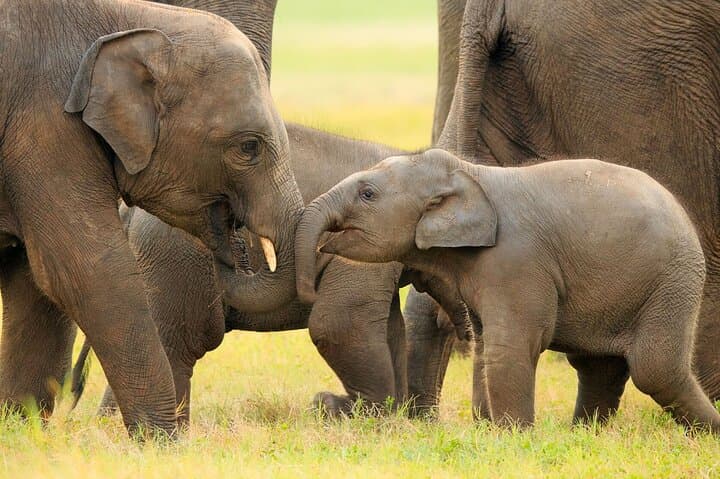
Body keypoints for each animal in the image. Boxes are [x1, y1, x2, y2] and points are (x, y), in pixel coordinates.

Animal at [0, 0, 303, 436]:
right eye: (248, 147)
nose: (234, 240)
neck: (138, 20)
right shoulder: (47, 130)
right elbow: (86, 272)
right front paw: (163, 440)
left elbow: (33, 283)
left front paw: (20, 432)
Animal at [295, 148, 720, 431]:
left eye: (368, 194)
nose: (308, 290)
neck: (469, 174)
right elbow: (486, 347)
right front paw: (491, 431)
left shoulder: (516, 261)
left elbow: (509, 346)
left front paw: (513, 436)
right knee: (599, 366)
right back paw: (583, 434)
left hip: (673, 281)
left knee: (655, 369)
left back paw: (707, 433)